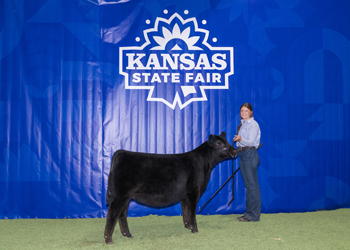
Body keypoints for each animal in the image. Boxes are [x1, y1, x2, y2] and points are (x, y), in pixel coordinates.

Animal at [102, 132, 237, 245]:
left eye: (226, 141)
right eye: (219, 143)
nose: (235, 150)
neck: (205, 165)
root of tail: (121, 152)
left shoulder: (185, 195)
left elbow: (185, 211)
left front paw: (188, 226)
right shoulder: (194, 191)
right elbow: (192, 211)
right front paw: (195, 230)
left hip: (127, 196)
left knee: (122, 214)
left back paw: (128, 234)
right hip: (120, 195)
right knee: (112, 214)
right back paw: (109, 240)